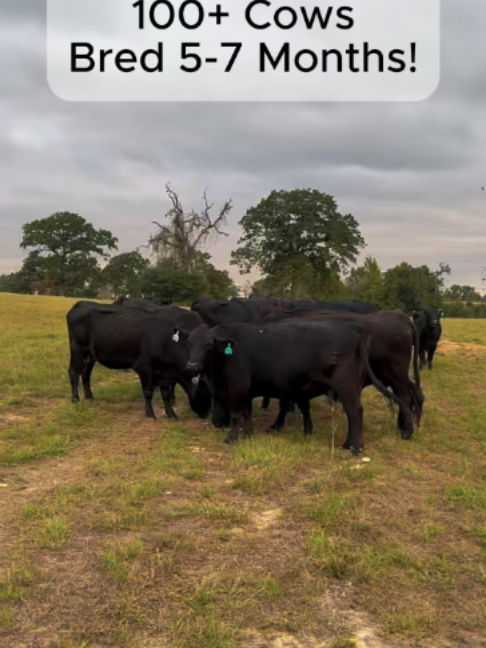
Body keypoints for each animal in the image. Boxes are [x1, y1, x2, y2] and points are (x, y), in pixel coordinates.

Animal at [66, 301, 212, 420]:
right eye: (206, 394)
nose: (207, 415)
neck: (165, 341)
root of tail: (80, 304)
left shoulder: (164, 373)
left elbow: (166, 393)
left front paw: (171, 414)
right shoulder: (145, 369)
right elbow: (148, 392)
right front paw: (150, 414)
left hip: (90, 355)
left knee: (85, 374)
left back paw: (89, 396)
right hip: (77, 349)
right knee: (74, 373)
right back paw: (75, 399)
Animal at [175, 321, 411, 454]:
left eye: (208, 345)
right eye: (189, 343)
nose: (192, 365)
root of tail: (355, 328)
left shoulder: (237, 389)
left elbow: (236, 416)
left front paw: (231, 439)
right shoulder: (246, 391)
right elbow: (247, 414)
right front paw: (248, 436)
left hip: (347, 388)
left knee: (355, 413)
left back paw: (353, 447)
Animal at [259, 309, 423, 441]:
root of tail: (399, 316)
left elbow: (285, 403)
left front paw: (275, 426)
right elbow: (301, 404)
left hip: (396, 376)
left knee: (405, 398)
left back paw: (406, 432)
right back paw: (403, 427)